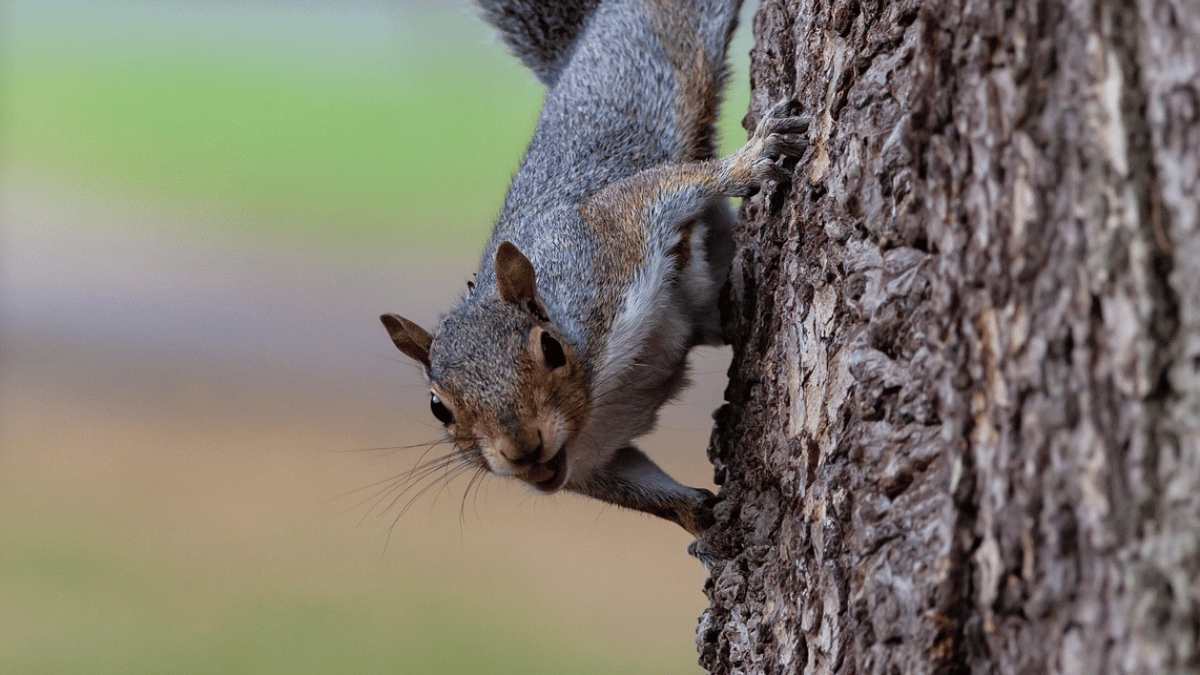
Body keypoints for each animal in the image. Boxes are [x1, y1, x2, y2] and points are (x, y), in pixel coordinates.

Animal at [380, 0, 806, 536]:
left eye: (551, 349)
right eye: (438, 408)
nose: (524, 452)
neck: (597, 394)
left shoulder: (607, 244)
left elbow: (669, 186)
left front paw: (751, 160)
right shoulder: (590, 461)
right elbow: (645, 491)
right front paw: (708, 522)